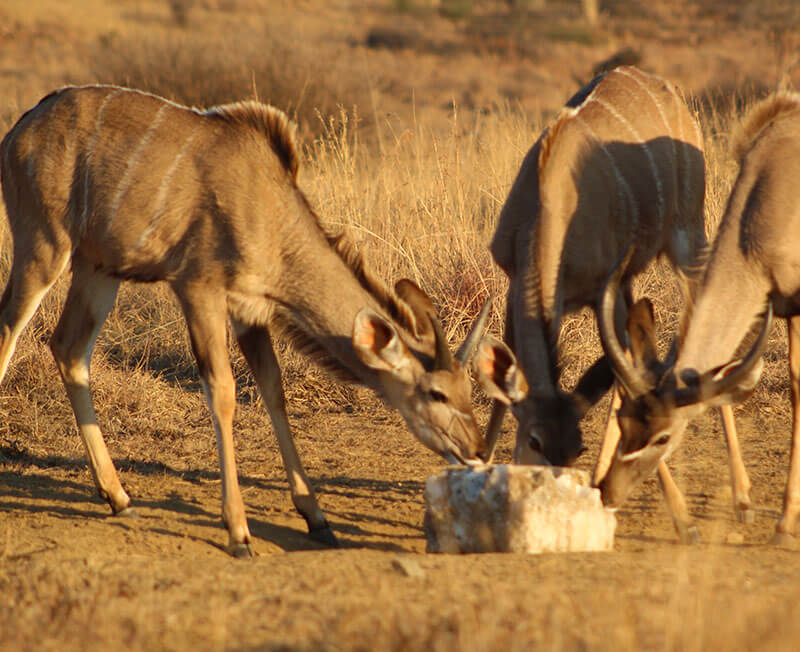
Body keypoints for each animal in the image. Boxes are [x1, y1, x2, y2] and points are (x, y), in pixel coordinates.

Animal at [0, 84, 494, 556]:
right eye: (435, 394)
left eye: (468, 390)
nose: (476, 450)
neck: (272, 213)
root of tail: (20, 130)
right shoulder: (199, 288)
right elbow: (222, 392)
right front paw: (238, 531)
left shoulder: (249, 311)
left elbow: (273, 388)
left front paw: (317, 517)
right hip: (44, 246)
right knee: (10, 331)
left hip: (98, 268)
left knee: (69, 349)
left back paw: (118, 497)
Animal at [472, 67, 740, 544]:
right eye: (534, 441)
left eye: (575, 447)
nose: (554, 489)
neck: (550, 204)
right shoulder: (515, 284)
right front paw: (481, 464)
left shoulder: (602, 290)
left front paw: (685, 522)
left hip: (688, 238)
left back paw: (743, 498)